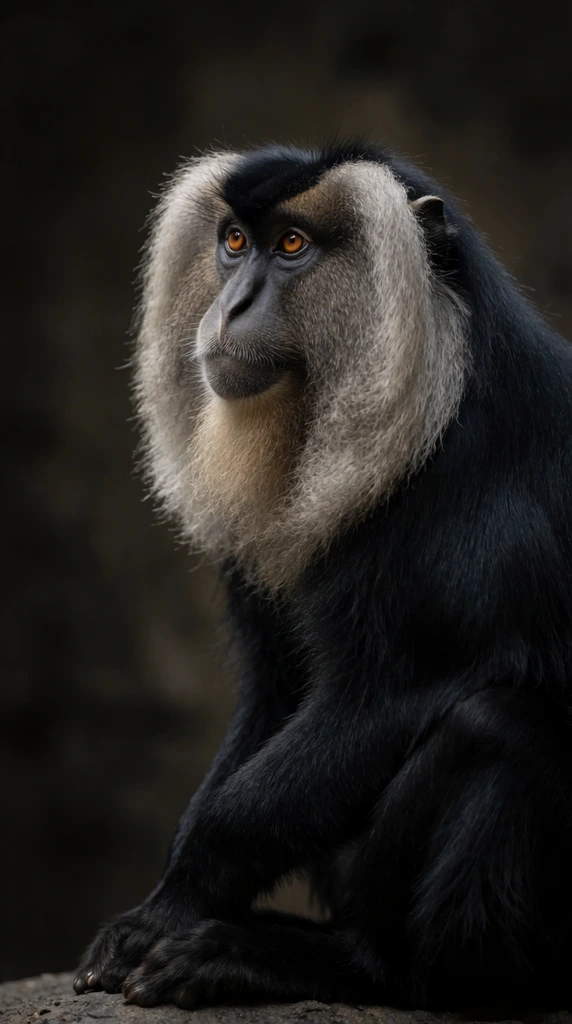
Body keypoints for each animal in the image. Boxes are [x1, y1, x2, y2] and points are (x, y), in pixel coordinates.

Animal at [73, 142, 572, 1011]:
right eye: (235, 242)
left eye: (293, 247)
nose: (231, 305)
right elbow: (280, 691)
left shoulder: (481, 507)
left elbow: (382, 701)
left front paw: (174, 907)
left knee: (502, 725)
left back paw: (335, 964)